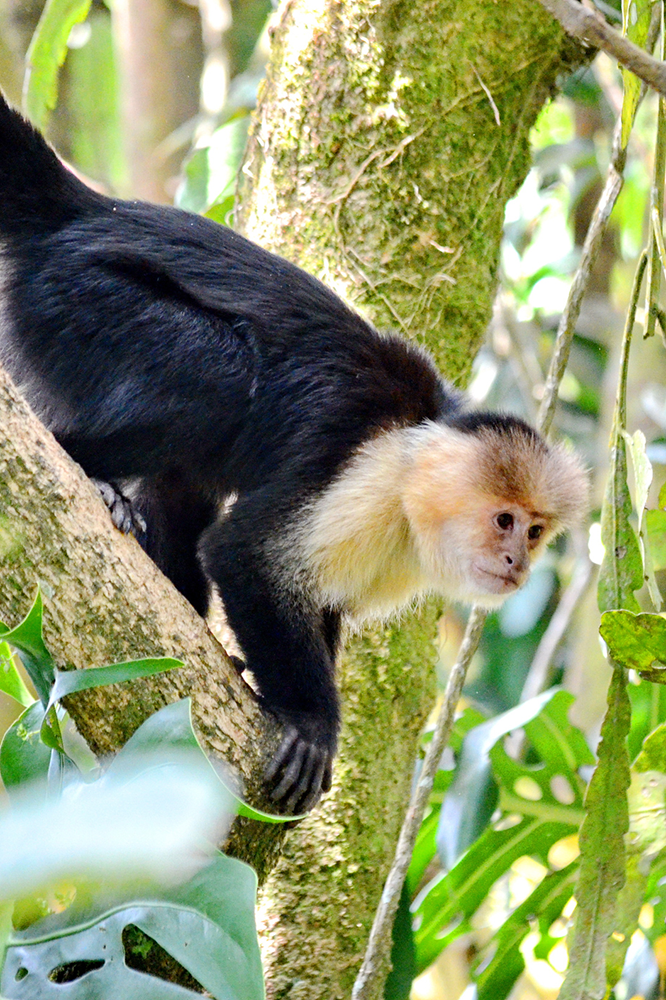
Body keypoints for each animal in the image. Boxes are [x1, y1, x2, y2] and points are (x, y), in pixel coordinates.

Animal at [0, 94, 584, 812]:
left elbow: (318, 606)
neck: (411, 482)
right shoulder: (364, 476)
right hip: (79, 296)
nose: (516, 564)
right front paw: (312, 722)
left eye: (534, 532)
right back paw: (85, 465)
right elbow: (244, 554)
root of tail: (81, 210)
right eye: (503, 521)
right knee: (217, 376)